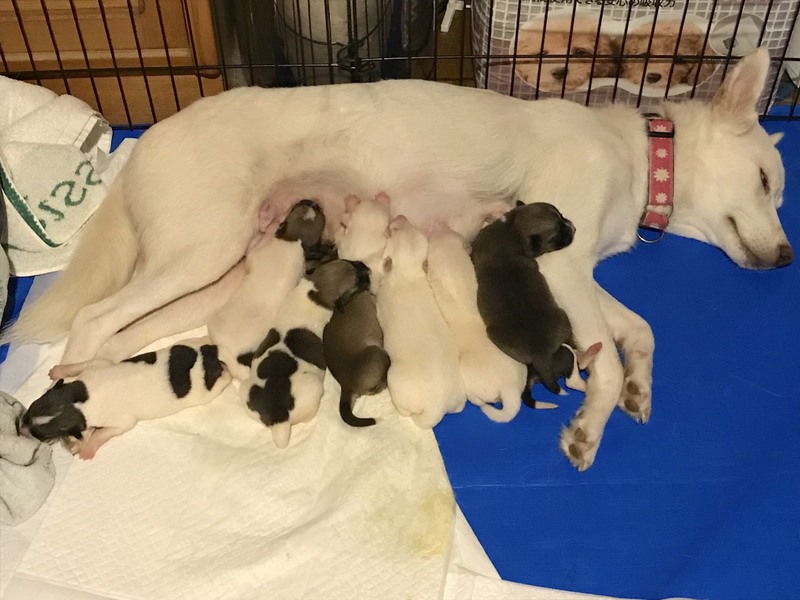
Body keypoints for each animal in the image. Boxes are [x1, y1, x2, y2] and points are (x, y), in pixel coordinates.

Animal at [20, 338, 231, 459]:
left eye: (42, 435)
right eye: (30, 407)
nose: (20, 428)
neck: (80, 401)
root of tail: (208, 356)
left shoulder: (121, 422)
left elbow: (102, 433)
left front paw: (88, 446)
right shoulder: (96, 366)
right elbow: (81, 364)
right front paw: (59, 370)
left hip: (205, 392)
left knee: (222, 381)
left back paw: (227, 374)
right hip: (185, 345)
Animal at [207, 200, 326, 380]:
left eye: (295, 207)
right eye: (317, 209)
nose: (313, 201)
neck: (295, 240)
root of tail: (236, 359)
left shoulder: (255, 252)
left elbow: (254, 245)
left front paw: (267, 216)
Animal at [242, 259, 371, 448]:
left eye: (348, 261)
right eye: (356, 286)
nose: (368, 269)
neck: (315, 289)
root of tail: (279, 418)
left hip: (245, 389)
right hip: (315, 387)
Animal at [376, 216, 466, 428]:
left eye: (393, 231)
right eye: (413, 226)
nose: (401, 216)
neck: (408, 273)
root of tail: (437, 409)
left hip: (395, 382)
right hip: (458, 398)